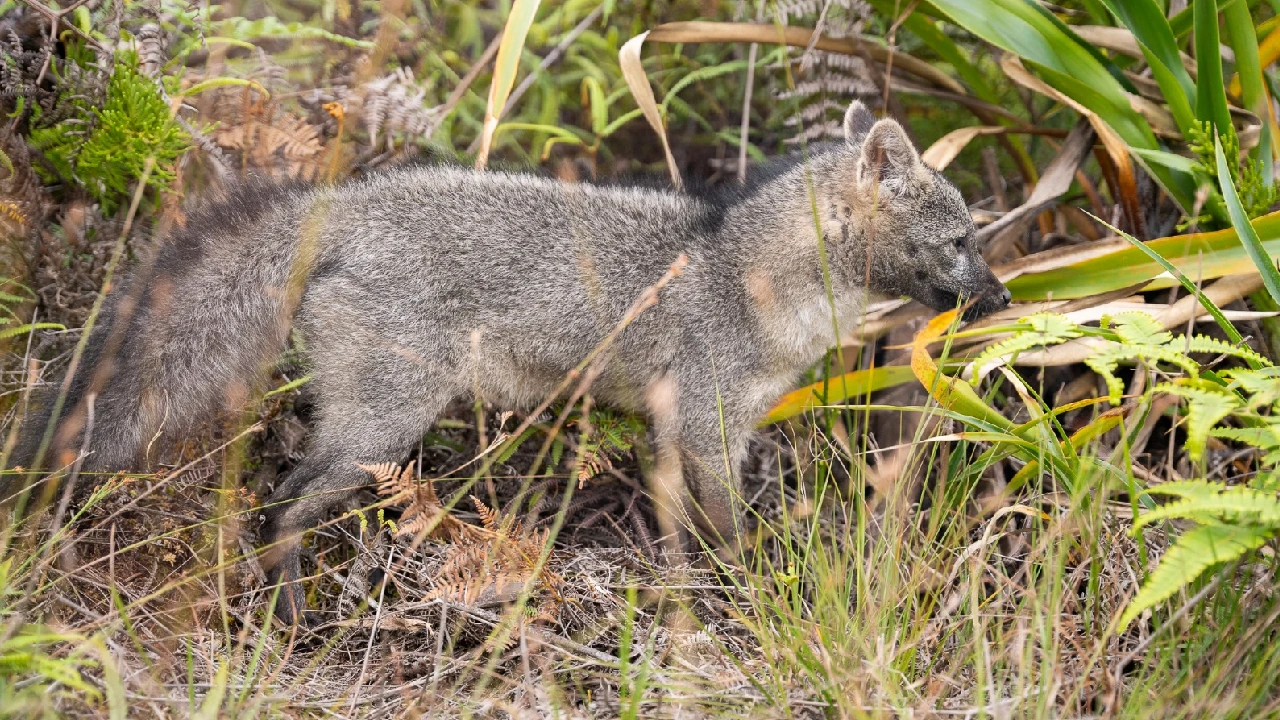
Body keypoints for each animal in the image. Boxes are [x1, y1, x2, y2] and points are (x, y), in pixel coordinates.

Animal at [4, 101, 1008, 624]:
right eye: (962, 242)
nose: (1003, 301)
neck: (743, 272)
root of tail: (350, 199)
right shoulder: (707, 429)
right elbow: (733, 535)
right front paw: (758, 593)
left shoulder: (679, 435)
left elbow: (687, 532)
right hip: (383, 425)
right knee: (279, 501)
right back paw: (290, 619)